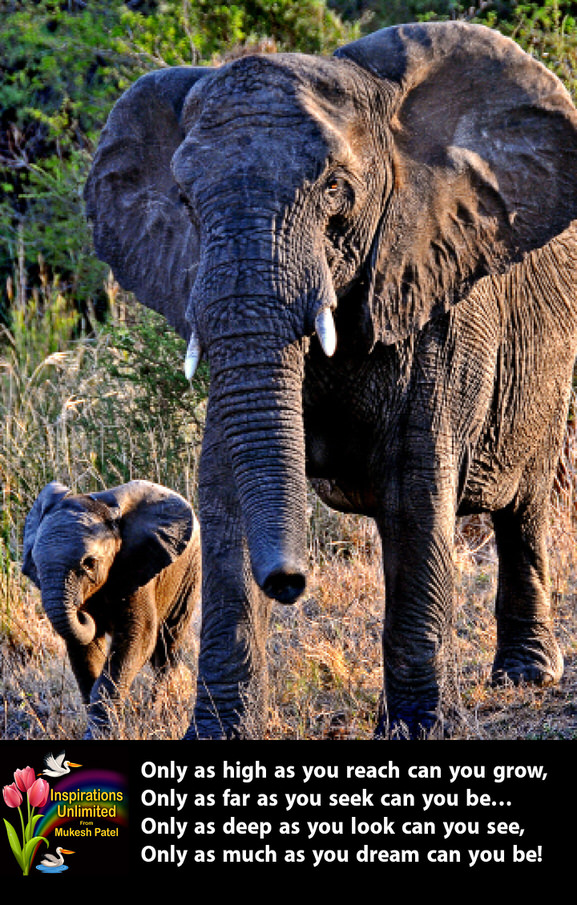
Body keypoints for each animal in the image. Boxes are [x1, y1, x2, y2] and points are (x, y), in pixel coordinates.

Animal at [22, 480, 201, 736]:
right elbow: (84, 651)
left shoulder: (136, 569)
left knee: (167, 647)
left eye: (89, 563)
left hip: (190, 571)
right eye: (35, 564)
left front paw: (98, 733)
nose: (82, 612)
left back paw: (154, 715)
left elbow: (137, 639)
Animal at [84, 21, 576, 740]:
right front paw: (216, 736)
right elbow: (227, 489)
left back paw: (526, 676)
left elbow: (417, 489)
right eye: (185, 202)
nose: (290, 582)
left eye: (335, 190)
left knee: (526, 503)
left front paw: (417, 732)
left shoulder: (437, 293)